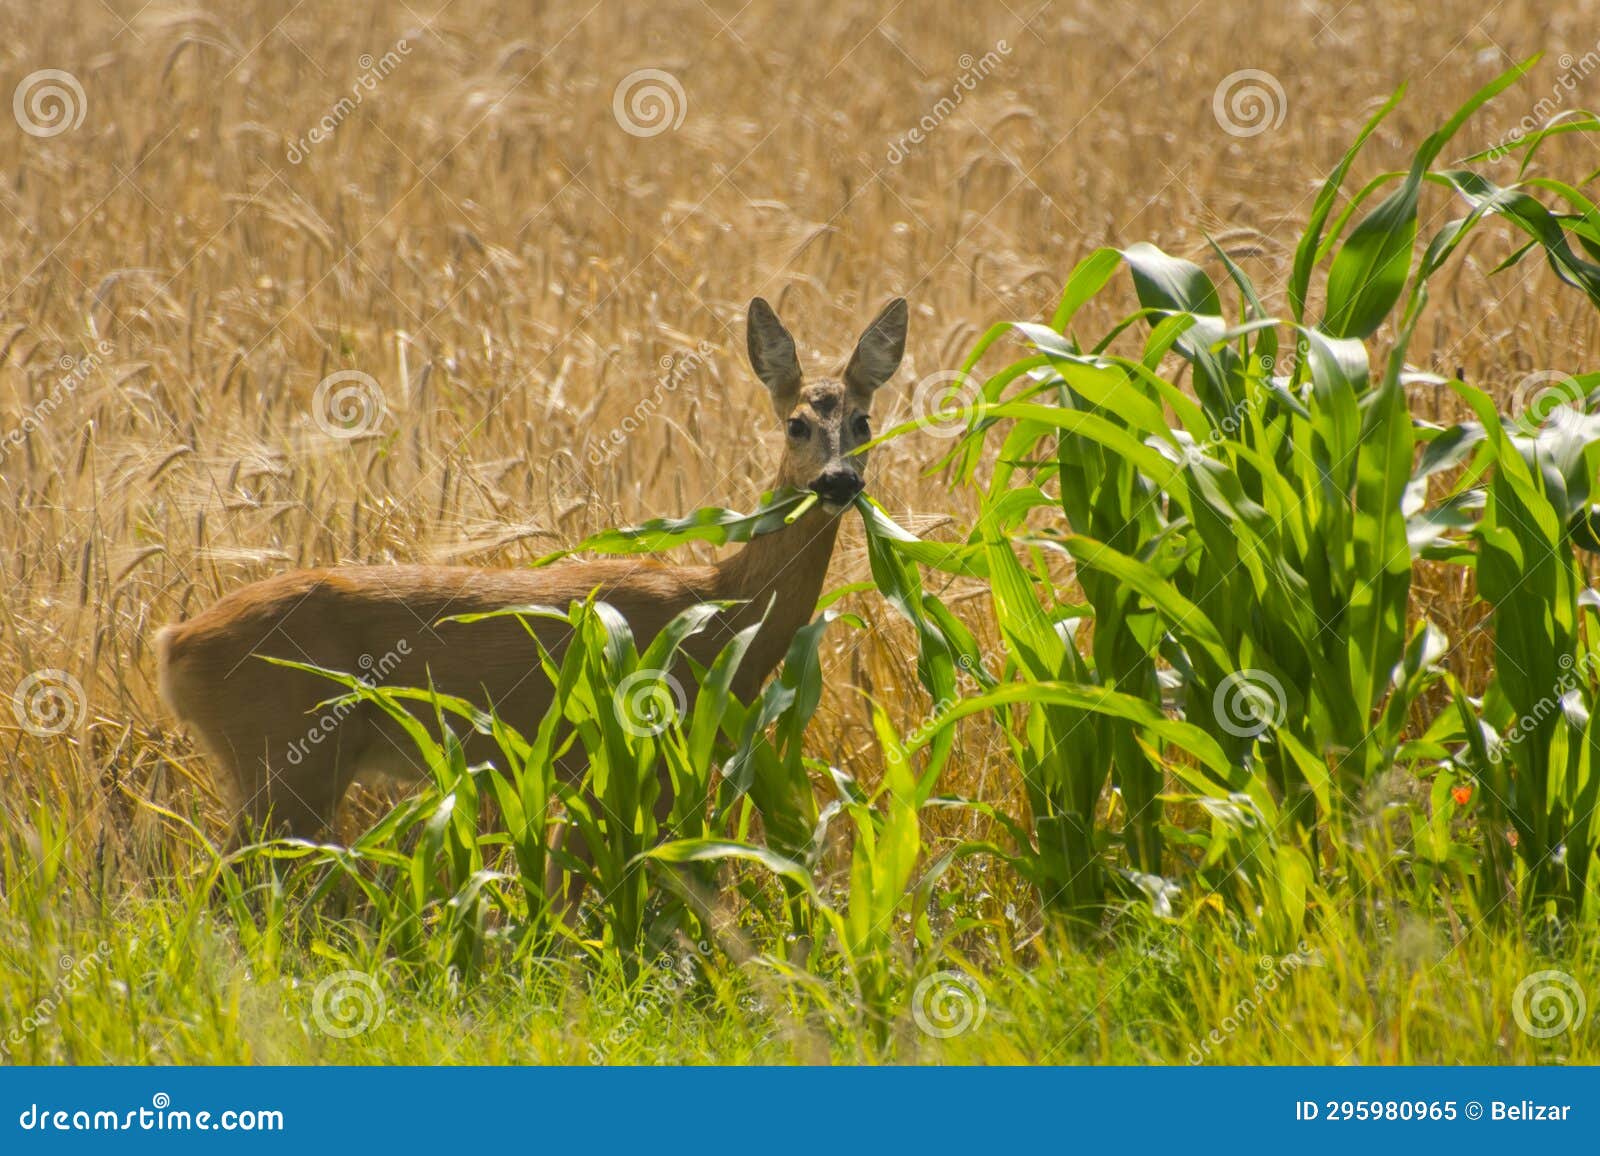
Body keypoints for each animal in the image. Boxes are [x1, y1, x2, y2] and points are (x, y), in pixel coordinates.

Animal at [155, 296, 908, 843]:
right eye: (797, 424)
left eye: (866, 422)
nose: (840, 481)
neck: (724, 613)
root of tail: (174, 643)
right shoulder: (623, 753)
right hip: (285, 756)